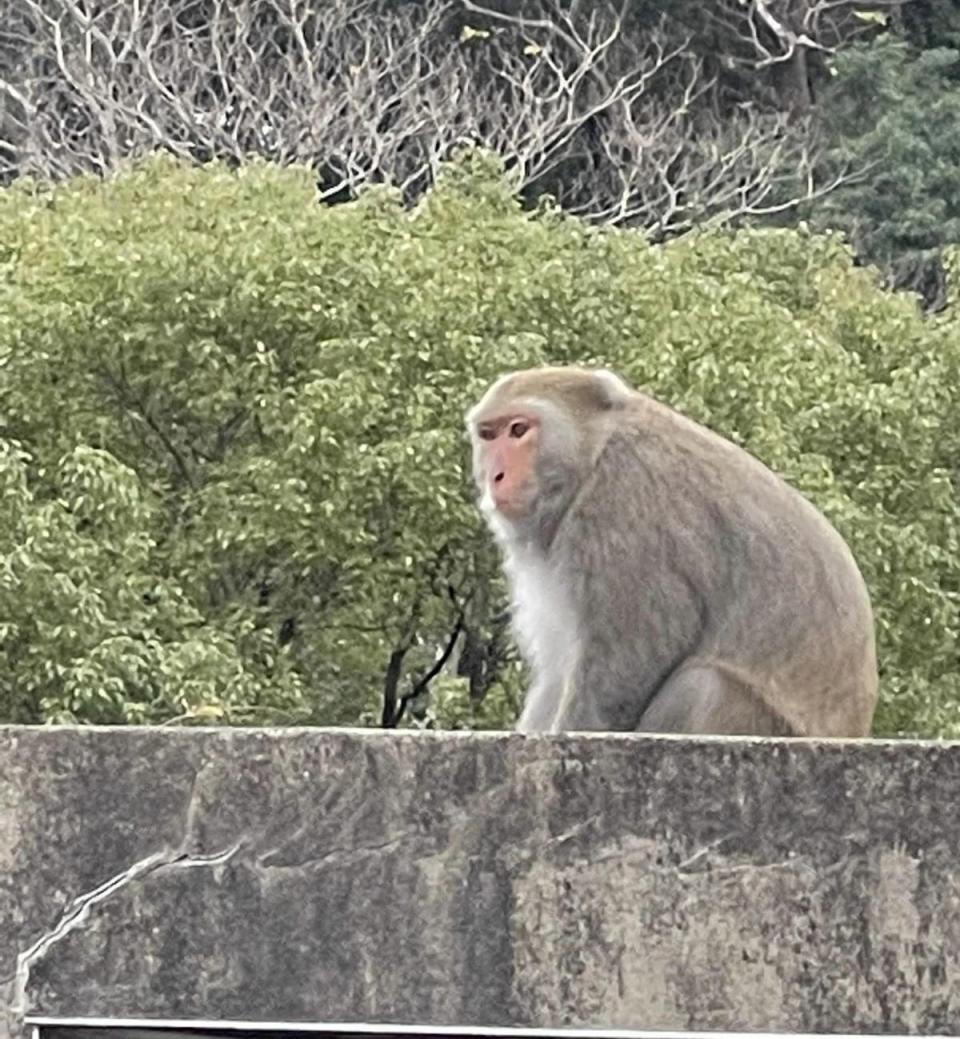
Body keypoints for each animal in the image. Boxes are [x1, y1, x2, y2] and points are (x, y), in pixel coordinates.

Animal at [465, 365, 876, 739]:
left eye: (519, 429)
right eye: (488, 435)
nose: (496, 476)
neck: (595, 455)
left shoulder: (620, 508)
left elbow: (633, 656)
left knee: (702, 686)